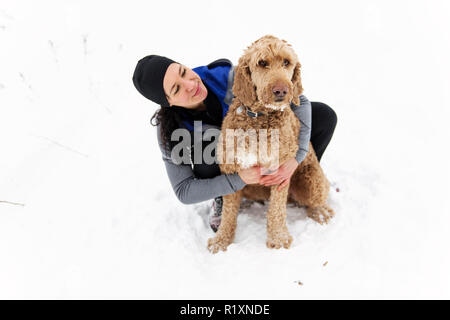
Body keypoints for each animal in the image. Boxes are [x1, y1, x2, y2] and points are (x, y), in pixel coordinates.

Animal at [207, 35, 334, 254]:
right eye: (262, 63)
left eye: (286, 62)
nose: (281, 90)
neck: (259, 118)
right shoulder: (231, 169)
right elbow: (228, 214)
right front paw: (221, 240)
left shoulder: (280, 172)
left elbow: (276, 210)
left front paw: (278, 238)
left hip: (312, 181)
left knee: (316, 197)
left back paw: (320, 211)